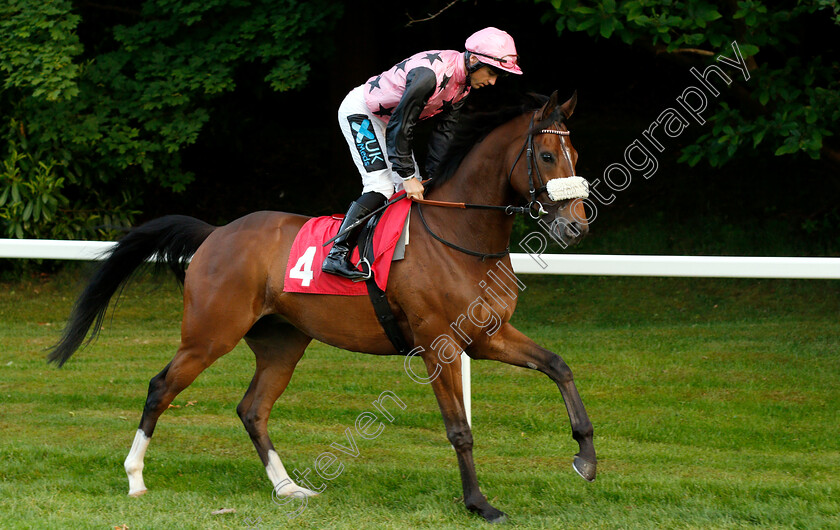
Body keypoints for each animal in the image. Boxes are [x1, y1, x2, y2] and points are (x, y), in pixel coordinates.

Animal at [49, 89, 596, 520]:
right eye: (548, 156)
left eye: (574, 151)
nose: (576, 224)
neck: (459, 234)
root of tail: (215, 233)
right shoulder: (438, 344)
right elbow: (459, 429)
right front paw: (479, 504)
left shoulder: (486, 337)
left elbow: (558, 366)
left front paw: (586, 458)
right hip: (209, 335)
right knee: (161, 387)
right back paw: (135, 477)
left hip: (281, 343)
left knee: (252, 408)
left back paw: (289, 487)